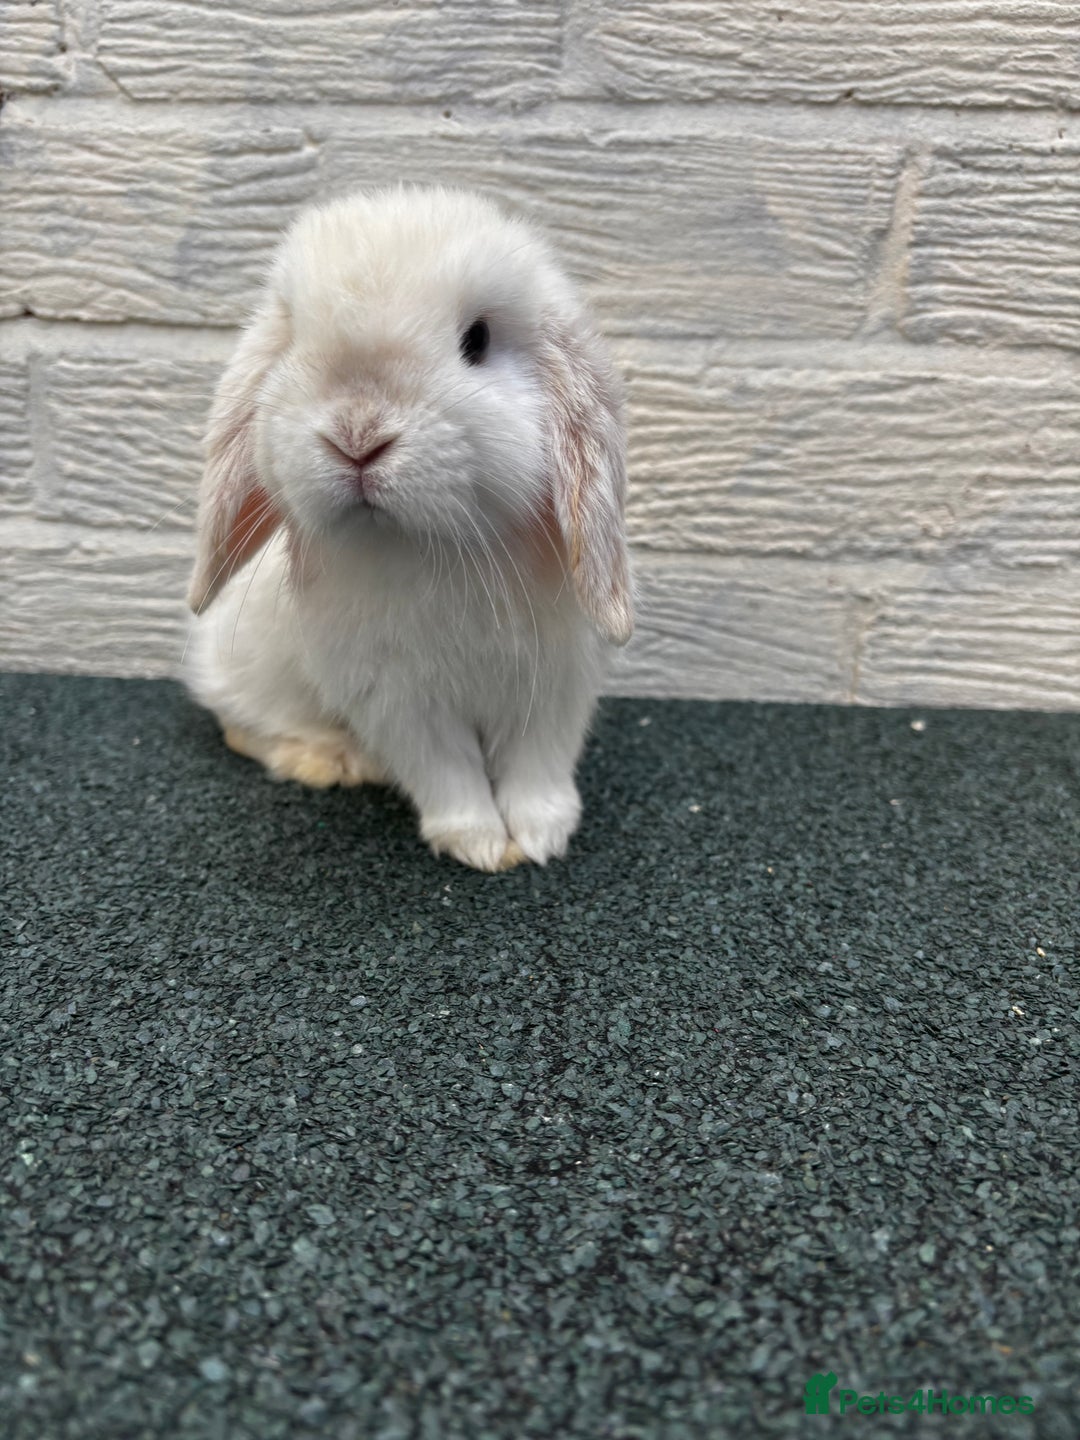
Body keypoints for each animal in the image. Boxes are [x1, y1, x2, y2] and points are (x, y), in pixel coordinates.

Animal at [182, 185, 633, 873]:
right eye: (295, 342)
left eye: (477, 339)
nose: (357, 436)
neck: (438, 549)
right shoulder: (400, 703)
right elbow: (449, 775)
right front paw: (478, 844)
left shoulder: (555, 686)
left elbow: (537, 769)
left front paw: (541, 839)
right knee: (243, 729)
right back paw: (331, 761)